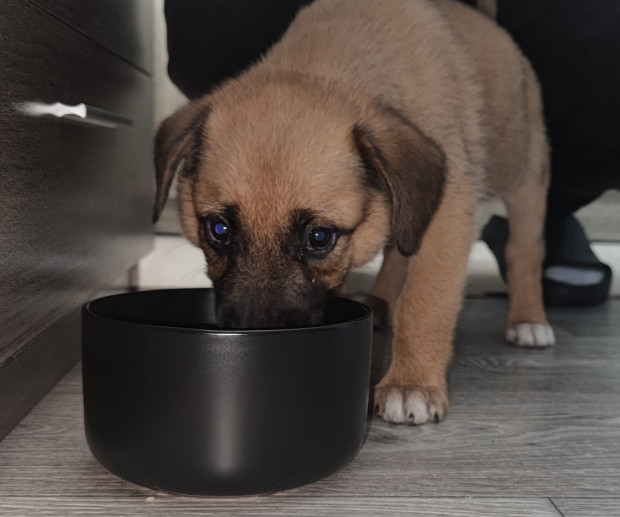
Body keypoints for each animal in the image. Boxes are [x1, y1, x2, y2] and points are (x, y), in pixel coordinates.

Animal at [153, 0, 556, 424]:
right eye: (218, 230)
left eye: (319, 237)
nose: (258, 343)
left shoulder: (449, 210)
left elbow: (426, 300)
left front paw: (412, 384)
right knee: (399, 252)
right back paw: (380, 303)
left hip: (529, 181)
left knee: (524, 252)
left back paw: (529, 321)